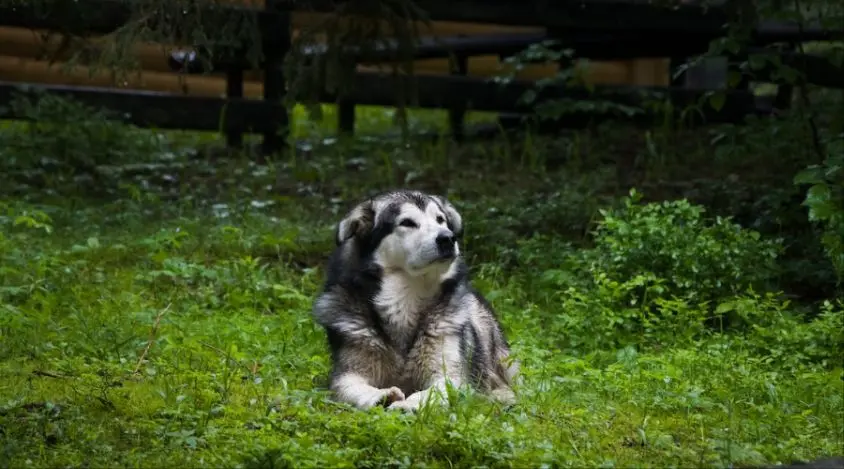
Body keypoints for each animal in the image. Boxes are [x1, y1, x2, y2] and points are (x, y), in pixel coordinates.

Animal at [312, 189, 516, 410]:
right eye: (407, 223)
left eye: (440, 220)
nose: (448, 238)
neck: (406, 297)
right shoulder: (346, 375)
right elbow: (353, 388)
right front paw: (381, 395)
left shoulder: (451, 376)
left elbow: (431, 392)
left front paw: (408, 404)